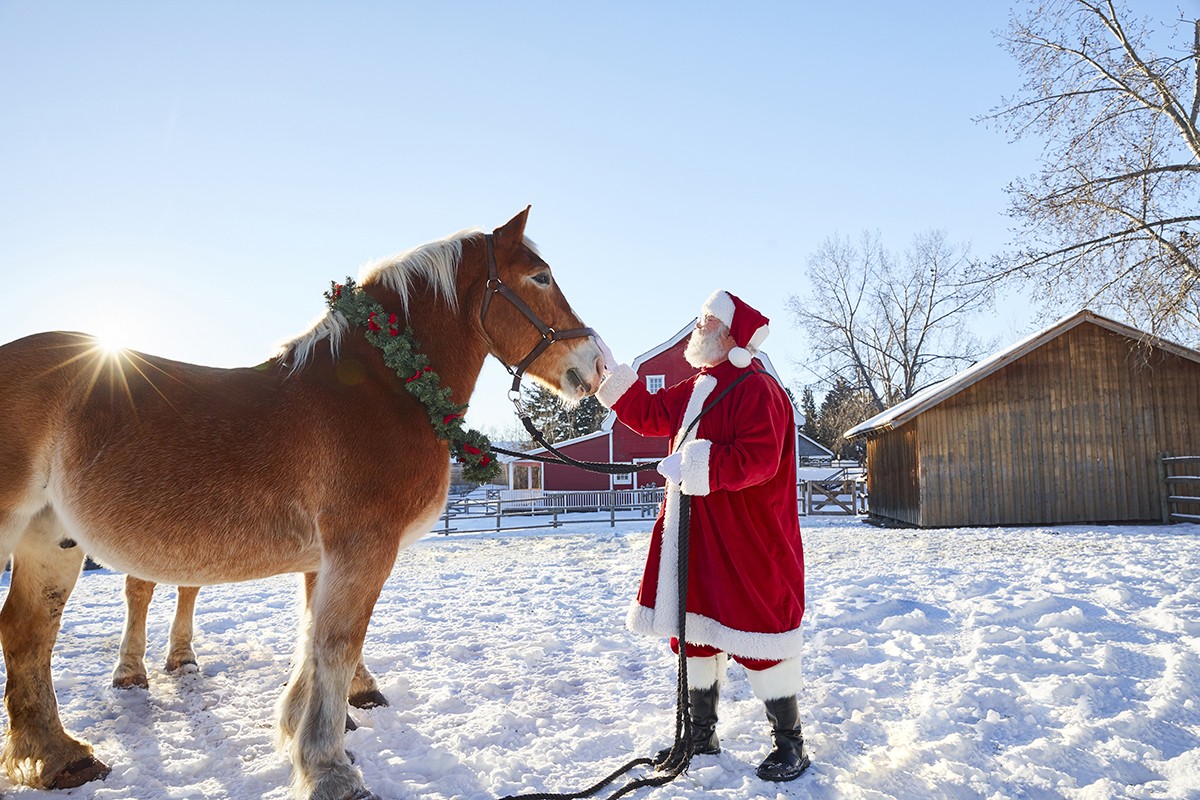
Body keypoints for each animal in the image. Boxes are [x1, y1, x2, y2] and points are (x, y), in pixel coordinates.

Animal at [0, 209, 600, 796]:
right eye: (540, 277)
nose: (596, 363)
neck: (387, 386)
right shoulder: (362, 548)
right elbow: (336, 644)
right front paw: (328, 769)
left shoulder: (325, 558)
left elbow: (311, 638)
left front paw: (299, 729)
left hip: (50, 537)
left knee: (28, 631)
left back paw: (61, 759)